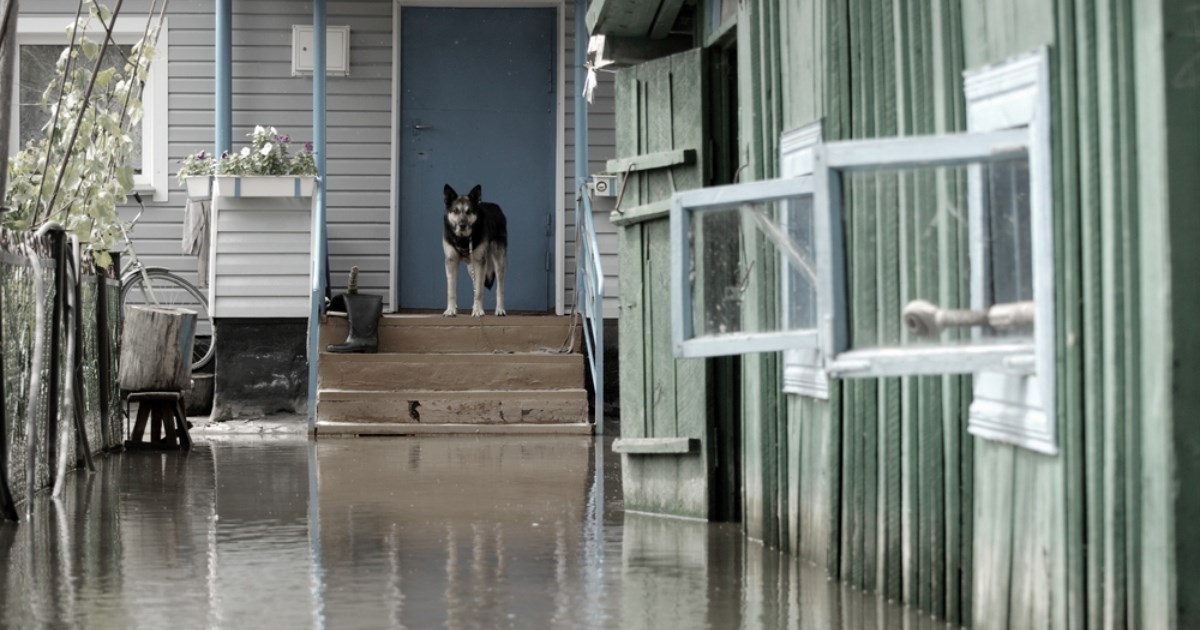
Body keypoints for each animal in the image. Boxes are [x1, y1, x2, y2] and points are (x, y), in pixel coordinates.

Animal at [446, 184, 511, 316]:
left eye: (469, 211)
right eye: (455, 211)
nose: (462, 225)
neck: (463, 239)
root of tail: (496, 207)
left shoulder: (479, 262)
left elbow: (480, 291)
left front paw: (478, 311)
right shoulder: (451, 261)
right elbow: (451, 290)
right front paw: (450, 309)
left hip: (498, 262)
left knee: (499, 287)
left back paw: (500, 309)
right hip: (471, 267)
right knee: (476, 285)